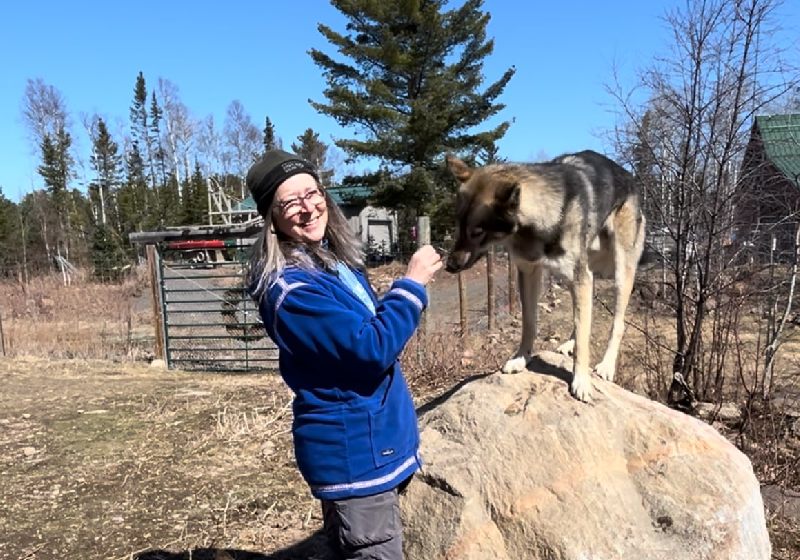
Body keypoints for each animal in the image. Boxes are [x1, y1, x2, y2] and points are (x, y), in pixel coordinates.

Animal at [446, 151, 648, 400]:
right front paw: (521, 359)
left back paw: (606, 366)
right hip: (587, 275)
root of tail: (629, 177)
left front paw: (581, 381)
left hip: (620, 273)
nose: (449, 266)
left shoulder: (579, 277)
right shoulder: (529, 273)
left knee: (617, 323)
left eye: (477, 232)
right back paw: (568, 344)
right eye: (458, 225)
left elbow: (584, 339)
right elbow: (530, 323)